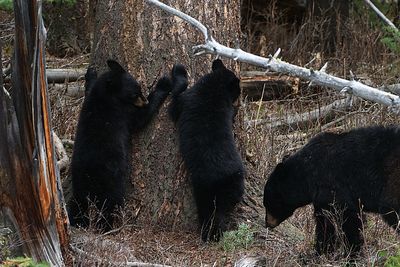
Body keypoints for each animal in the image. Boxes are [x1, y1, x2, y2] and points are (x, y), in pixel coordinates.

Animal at [69, 59, 172, 231]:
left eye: (139, 89)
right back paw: (106, 227)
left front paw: (91, 73)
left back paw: (77, 223)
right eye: (135, 93)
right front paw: (163, 85)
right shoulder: (123, 112)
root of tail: (90, 177)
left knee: (78, 203)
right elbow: (141, 118)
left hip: (78, 184)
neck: (105, 95)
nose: (145, 101)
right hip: (111, 182)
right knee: (109, 204)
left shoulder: (92, 97)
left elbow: (88, 88)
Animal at [168, 59, 244, 242]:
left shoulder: (188, 100)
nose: (240, 93)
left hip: (205, 188)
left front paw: (179, 70)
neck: (214, 86)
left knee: (210, 212)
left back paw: (210, 234)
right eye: (237, 88)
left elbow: (175, 103)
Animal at [262, 126, 400, 256]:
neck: (306, 173)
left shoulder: (331, 185)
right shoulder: (321, 197)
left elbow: (345, 219)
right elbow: (325, 222)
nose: (267, 223)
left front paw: (349, 253)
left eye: (268, 203)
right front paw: (321, 252)